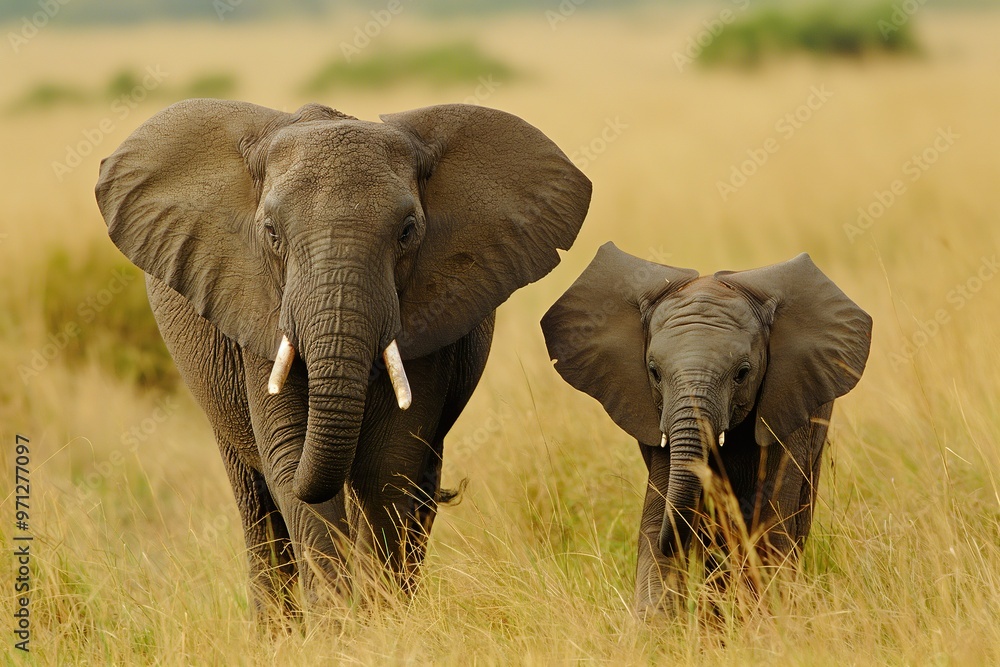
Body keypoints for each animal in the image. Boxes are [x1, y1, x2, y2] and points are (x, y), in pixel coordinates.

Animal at [95, 99, 591, 616]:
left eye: (407, 232)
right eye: (271, 233)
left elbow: (388, 463)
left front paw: (381, 618)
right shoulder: (257, 310)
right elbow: (289, 456)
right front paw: (338, 623)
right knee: (256, 504)